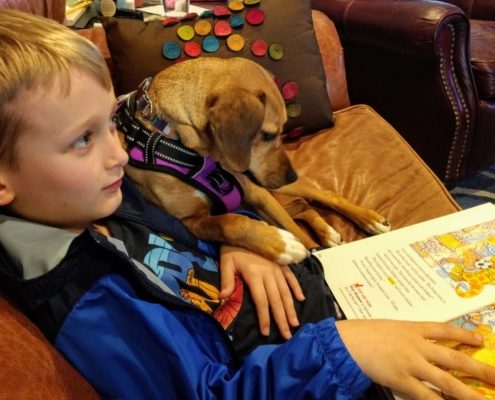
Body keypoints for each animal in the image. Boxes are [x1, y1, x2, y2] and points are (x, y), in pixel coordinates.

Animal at [117, 55, 392, 262]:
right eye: (268, 134)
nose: (291, 175)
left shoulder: (256, 193)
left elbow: (296, 232)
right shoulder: (190, 221)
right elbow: (230, 222)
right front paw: (279, 244)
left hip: (278, 190)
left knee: (322, 196)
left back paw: (369, 220)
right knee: (302, 207)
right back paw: (327, 233)